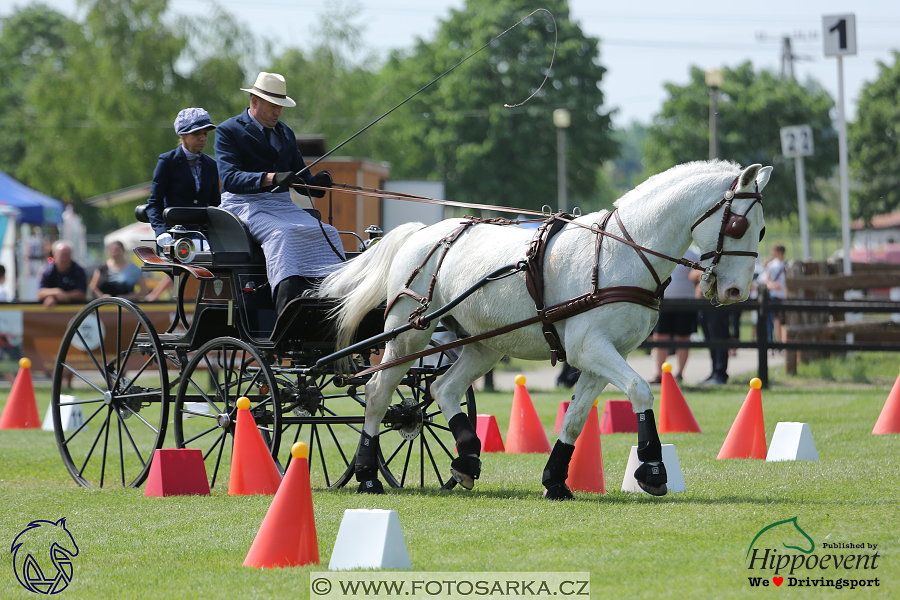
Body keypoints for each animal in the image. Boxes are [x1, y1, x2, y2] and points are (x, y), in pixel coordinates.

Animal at [320, 159, 768, 496]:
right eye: (739, 226)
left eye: (762, 230)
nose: (736, 291)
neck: (622, 251)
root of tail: (422, 232)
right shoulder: (589, 348)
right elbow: (641, 389)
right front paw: (654, 469)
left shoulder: (605, 355)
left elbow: (576, 417)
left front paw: (555, 479)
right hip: (408, 334)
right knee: (378, 392)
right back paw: (367, 473)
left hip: (485, 343)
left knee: (443, 387)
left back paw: (466, 459)